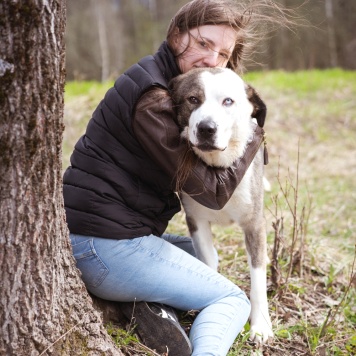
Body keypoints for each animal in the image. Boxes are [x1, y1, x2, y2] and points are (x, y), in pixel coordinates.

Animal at [170, 67, 272, 344]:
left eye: (228, 101)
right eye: (193, 99)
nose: (207, 128)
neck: (218, 169)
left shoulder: (254, 225)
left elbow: (258, 279)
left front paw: (261, 326)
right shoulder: (196, 221)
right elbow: (208, 263)